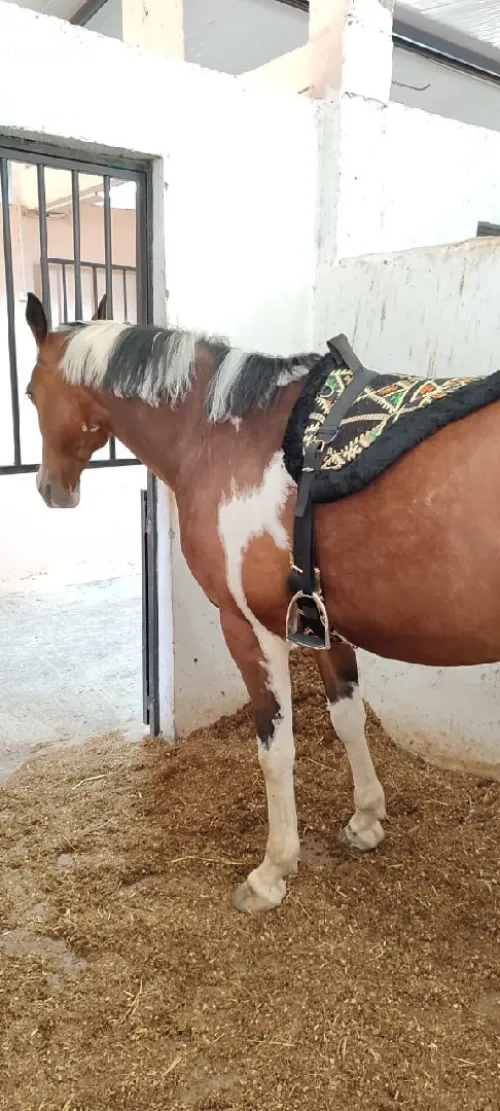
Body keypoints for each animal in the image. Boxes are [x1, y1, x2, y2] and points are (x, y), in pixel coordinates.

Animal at [24, 291, 500, 914]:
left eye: (30, 392)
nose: (49, 489)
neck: (230, 435)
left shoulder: (249, 627)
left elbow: (276, 749)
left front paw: (272, 872)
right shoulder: (322, 621)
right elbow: (348, 718)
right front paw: (367, 819)